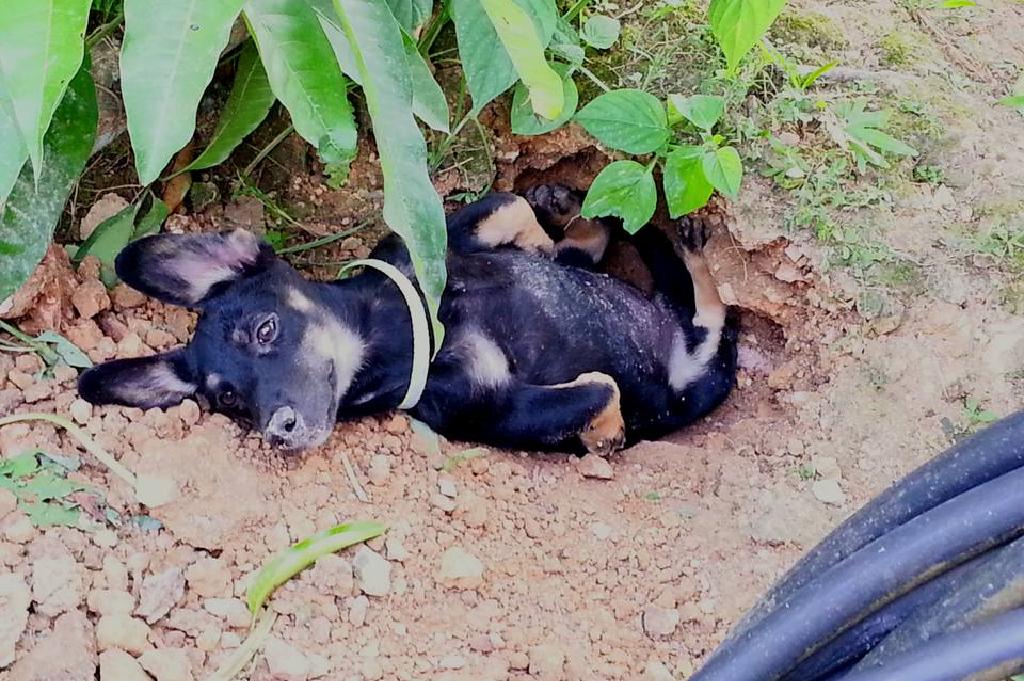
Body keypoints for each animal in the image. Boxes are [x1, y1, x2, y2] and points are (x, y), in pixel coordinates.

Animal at [77, 183, 737, 454]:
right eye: (231, 401)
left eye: (265, 330)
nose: (277, 432)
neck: (408, 325)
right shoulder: (492, 408)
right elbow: (601, 388)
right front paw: (605, 435)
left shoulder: (434, 243)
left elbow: (510, 206)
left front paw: (547, 244)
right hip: (698, 382)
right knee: (709, 314)